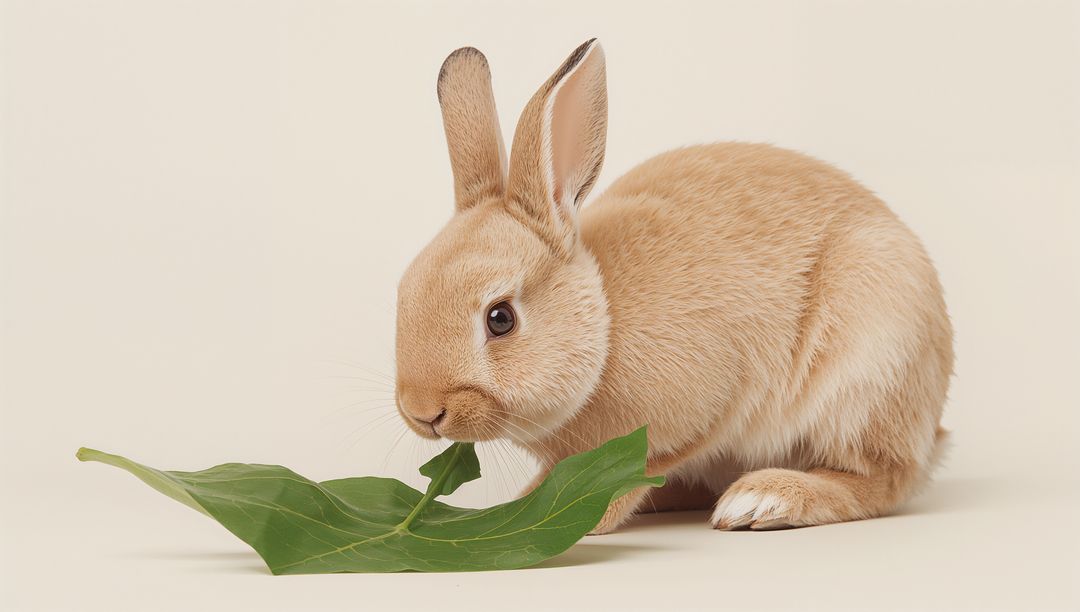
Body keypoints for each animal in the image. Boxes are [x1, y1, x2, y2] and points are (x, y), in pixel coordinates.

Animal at [393, 38, 954, 534]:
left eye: (501, 318)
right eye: (402, 294)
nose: (423, 412)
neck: (605, 324)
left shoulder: (696, 409)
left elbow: (632, 474)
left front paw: (556, 514)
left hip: (869, 374)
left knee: (882, 478)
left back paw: (762, 499)